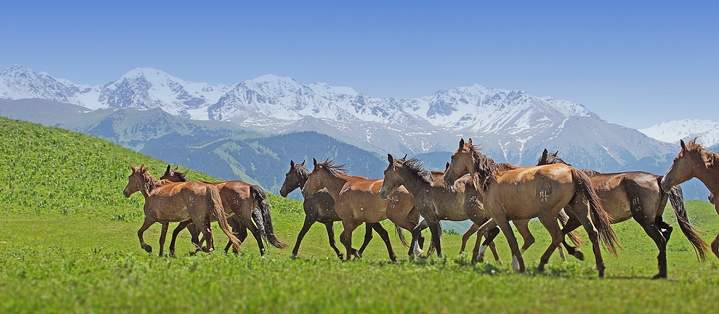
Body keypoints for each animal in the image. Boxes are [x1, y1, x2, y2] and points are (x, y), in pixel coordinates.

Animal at [444, 139, 620, 276]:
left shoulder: (501, 218)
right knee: (592, 233)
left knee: (557, 237)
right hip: (579, 210)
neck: (490, 180)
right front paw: (475, 258)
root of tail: (572, 170)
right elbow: (483, 231)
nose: (446, 178)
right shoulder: (498, 217)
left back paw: (542, 264)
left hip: (546, 216)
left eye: (453, 157)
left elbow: (512, 241)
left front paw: (519, 266)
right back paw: (600, 268)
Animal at [540, 148, 708, 276]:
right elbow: (566, 235)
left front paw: (576, 253)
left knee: (660, 239)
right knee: (667, 231)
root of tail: (658, 179)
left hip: (645, 221)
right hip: (655, 219)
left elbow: (561, 235)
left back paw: (661, 272)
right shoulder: (582, 221)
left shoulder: (577, 219)